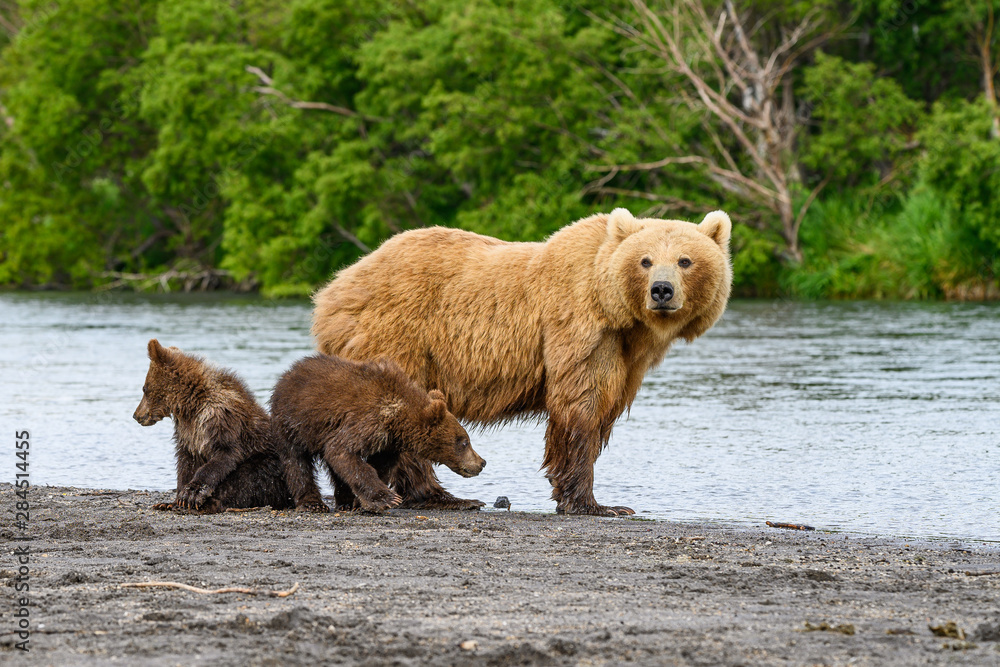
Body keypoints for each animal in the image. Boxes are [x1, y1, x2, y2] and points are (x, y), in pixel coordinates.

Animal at [133, 339, 294, 513]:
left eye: (144, 388)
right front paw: (174, 501)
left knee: (247, 478)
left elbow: (226, 452)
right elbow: (186, 461)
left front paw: (192, 494)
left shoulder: (221, 418)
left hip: (272, 464)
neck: (190, 405)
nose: (136, 415)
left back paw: (212, 503)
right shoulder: (188, 431)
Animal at [269, 353, 486, 513]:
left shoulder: (389, 442)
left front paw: (362, 502)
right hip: (294, 423)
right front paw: (387, 499)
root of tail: (288, 372)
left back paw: (345, 500)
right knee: (297, 462)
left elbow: (379, 464)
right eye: (464, 441)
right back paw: (312, 503)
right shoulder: (366, 422)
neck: (398, 418)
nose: (482, 462)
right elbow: (343, 451)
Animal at [311, 207, 732, 516]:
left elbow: (602, 408)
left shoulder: (626, 356)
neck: (621, 316)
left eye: (685, 260)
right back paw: (447, 496)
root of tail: (335, 286)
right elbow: (580, 407)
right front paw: (597, 504)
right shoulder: (577, 328)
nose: (662, 290)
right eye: (645, 261)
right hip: (398, 334)